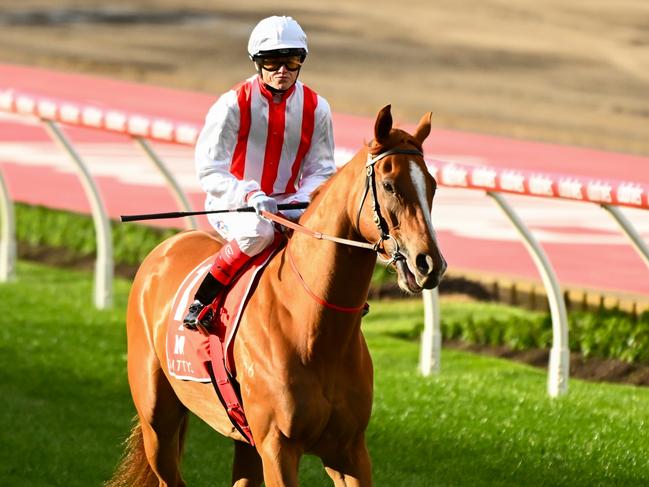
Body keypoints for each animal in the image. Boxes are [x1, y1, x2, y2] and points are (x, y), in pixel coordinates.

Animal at [110, 105, 446, 486]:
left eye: (432, 186)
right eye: (389, 185)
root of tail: (164, 249)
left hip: (243, 440)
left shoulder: (349, 449)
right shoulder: (278, 446)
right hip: (158, 424)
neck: (313, 330)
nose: (429, 263)